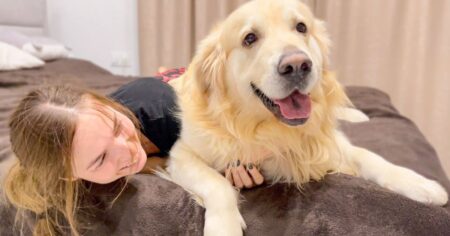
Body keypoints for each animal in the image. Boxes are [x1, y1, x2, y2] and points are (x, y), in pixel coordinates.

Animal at [164, 0, 446, 234]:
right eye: (249, 38)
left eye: (301, 27)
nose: (297, 65)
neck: (264, 127)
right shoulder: (180, 155)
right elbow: (218, 184)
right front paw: (224, 227)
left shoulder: (326, 142)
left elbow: (370, 156)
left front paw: (420, 183)